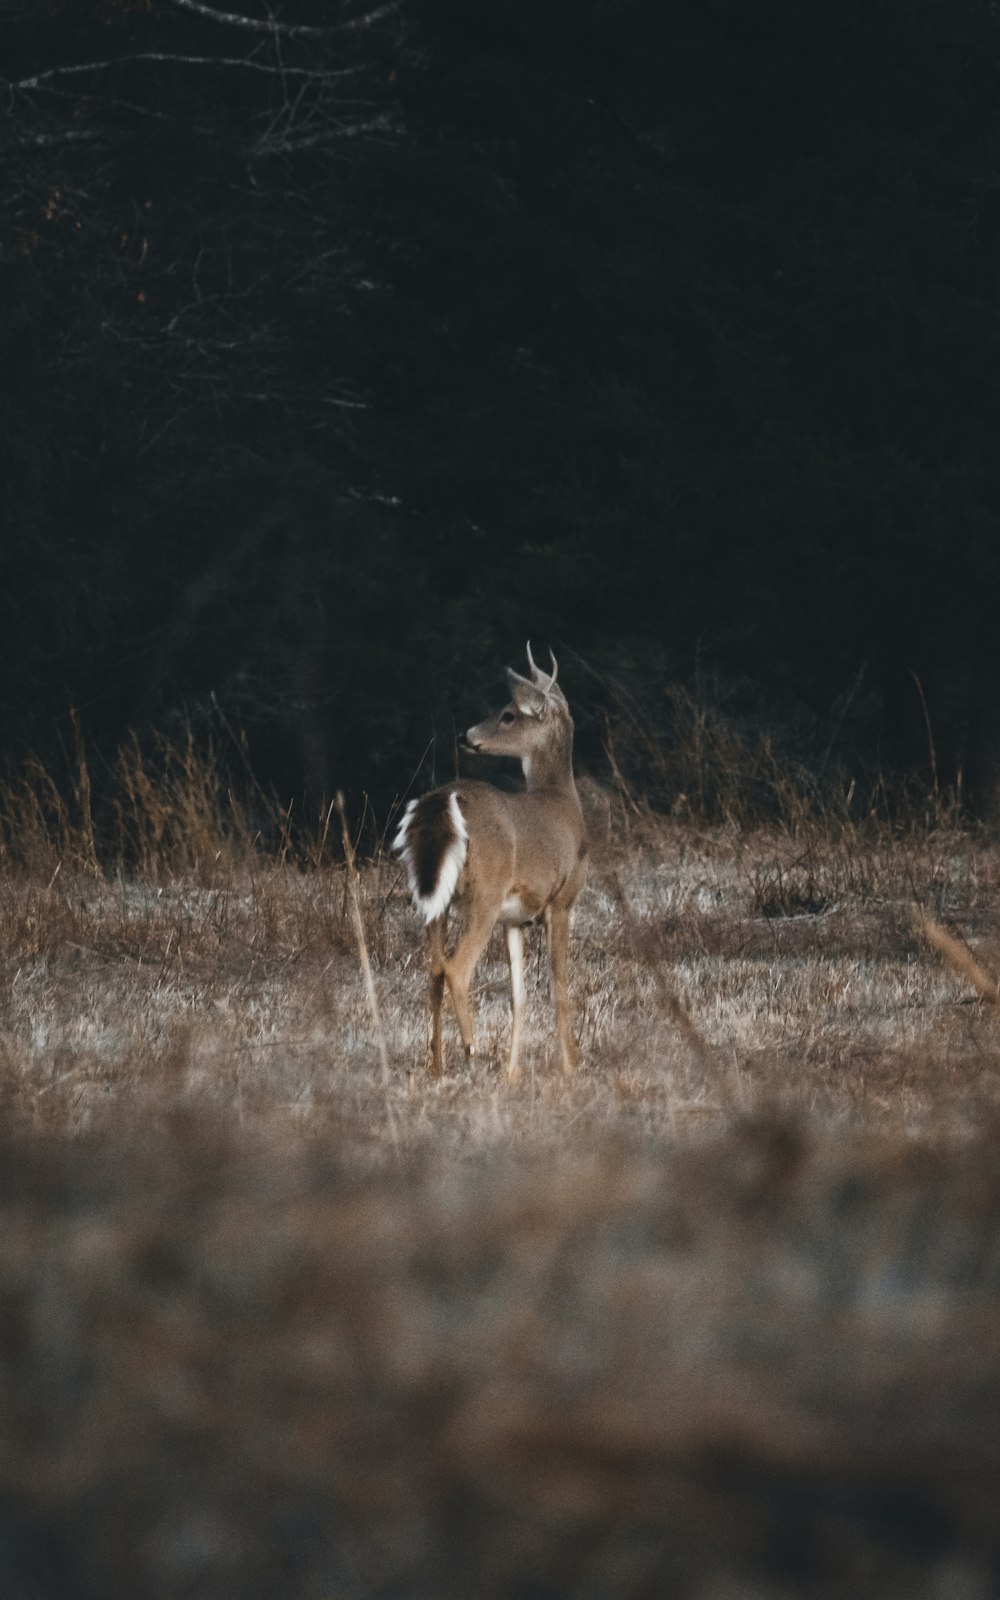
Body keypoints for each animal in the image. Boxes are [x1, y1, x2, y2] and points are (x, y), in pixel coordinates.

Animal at [393, 643, 588, 1081]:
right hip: (485, 891)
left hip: (435, 898)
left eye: (508, 714)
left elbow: (520, 997)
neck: (563, 802)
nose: (465, 735)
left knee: (434, 969)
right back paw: (471, 1050)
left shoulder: (514, 919)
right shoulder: (562, 899)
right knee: (456, 968)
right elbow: (559, 987)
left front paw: (512, 1074)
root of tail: (442, 800)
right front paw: (571, 1066)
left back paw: (437, 1064)